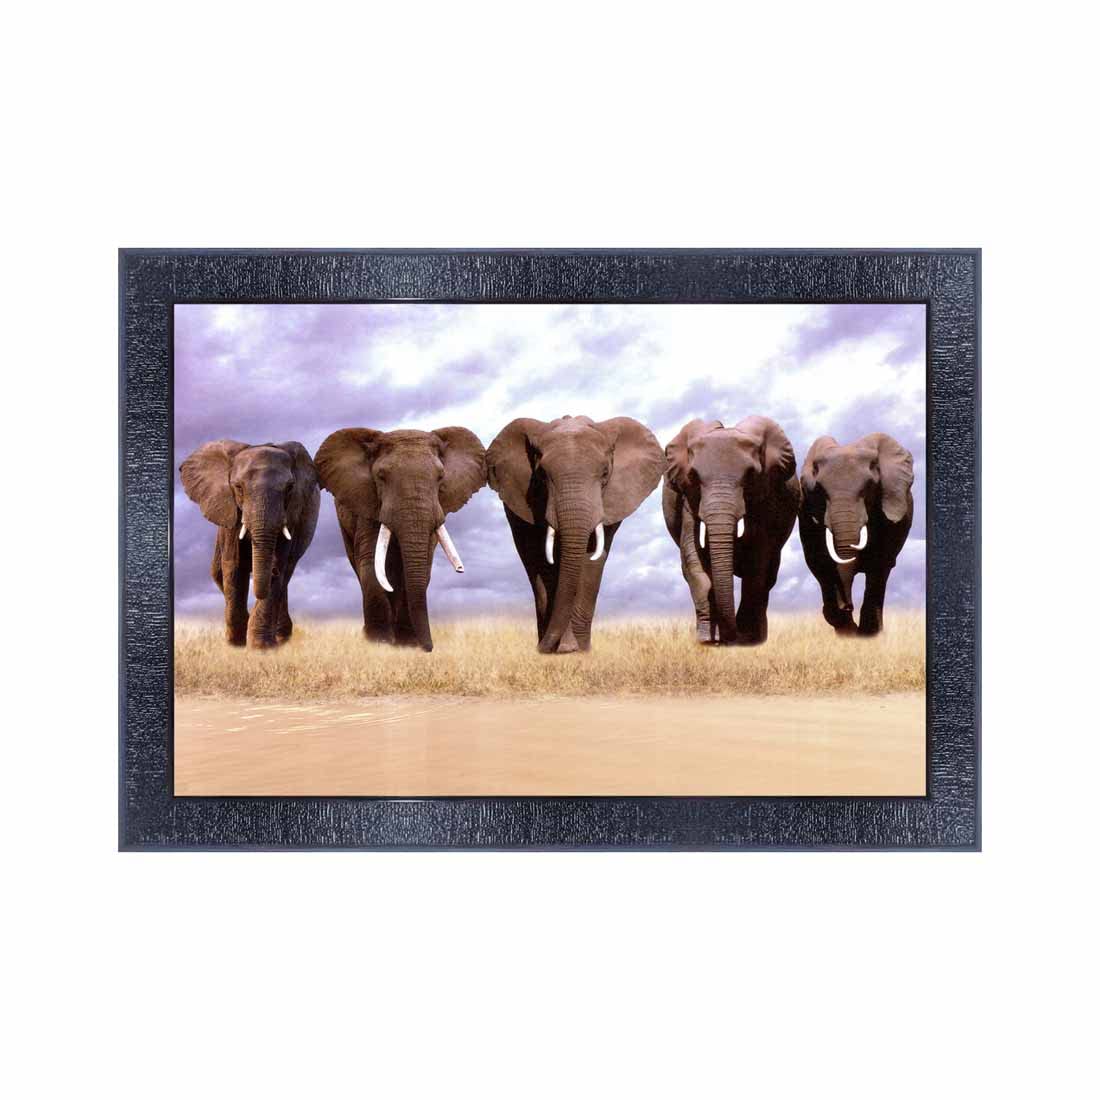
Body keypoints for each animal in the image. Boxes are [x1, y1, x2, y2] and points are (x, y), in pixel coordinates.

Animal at [179, 440, 320, 649]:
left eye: (290, 488)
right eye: (238, 487)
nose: (272, 572)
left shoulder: (292, 515)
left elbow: (279, 568)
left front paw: (261, 647)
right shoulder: (229, 511)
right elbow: (233, 567)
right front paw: (236, 645)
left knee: (287, 572)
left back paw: (281, 638)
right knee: (218, 573)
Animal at [314, 427, 487, 652]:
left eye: (440, 477)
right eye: (381, 476)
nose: (429, 648)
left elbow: (419, 567)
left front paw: (407, 644)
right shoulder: (368, 504)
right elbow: (371, 564)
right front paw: (379, 643)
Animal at [487, 415, 665, 653]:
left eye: (605, 474)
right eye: (541, 475)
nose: (541, 649)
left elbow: (591, 560)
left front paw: (578, 649)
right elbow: (544, 563)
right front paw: (565, 649)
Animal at [663, 416, 800, 645]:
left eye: (751, 475)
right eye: (693, 476)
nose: (730, 639)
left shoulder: (767, 496)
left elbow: (758, 558)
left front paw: (747, 640)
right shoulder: (687, 498)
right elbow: (692, 554)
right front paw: (707, 640)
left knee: (768, 576)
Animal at [798, 432, 914, 636]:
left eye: (868, 488)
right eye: (821, 490)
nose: (847, 605)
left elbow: (879, 565)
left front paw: (865, 635)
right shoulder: (807, 514)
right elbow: (820, 565)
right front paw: (848, 631)